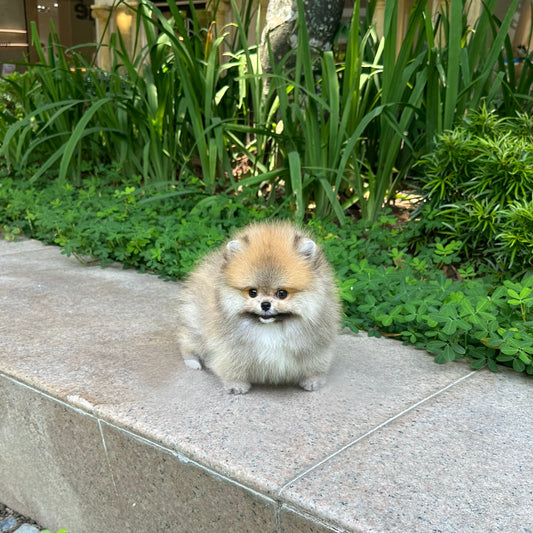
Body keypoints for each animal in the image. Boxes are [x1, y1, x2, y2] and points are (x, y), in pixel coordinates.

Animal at [177, 218, 338, 392]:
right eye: (252, 292)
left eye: (282, 293)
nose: (265, 304)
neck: (271, 327)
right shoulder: (230, 349)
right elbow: (232, 366)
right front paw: (236, 385)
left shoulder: (315, 346)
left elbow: (314, 364)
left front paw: (313, 381)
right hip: (196, 323)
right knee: (188, 340)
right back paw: (193, 361)